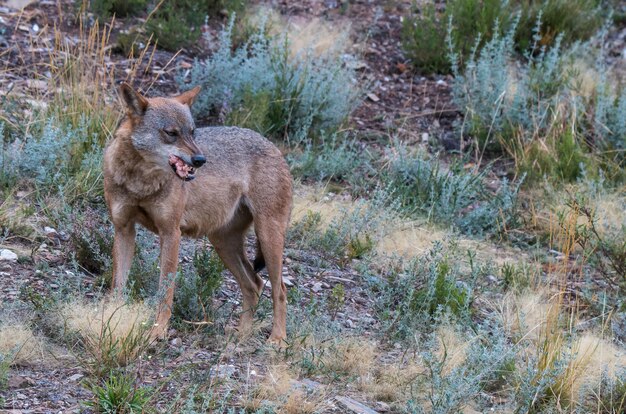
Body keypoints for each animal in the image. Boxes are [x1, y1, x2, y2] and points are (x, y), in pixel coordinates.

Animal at [103, 83, 292, 342]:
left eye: (193, 132)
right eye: (171, 133)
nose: (201, 159)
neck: (140, 182)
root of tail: (274, 147)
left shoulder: (171, 233)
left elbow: (165, 291)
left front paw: (158, 331)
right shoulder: (123, 229)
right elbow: (118, 284)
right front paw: (113, 317)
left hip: (267, 237)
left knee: (279, 289)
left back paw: (278, 340)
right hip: (223, 243)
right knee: (254, 285)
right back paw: (241, 334)